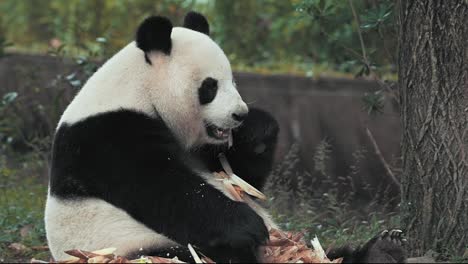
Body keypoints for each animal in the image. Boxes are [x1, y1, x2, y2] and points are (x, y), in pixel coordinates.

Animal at [44, 11, 406, 262]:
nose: (239, 114)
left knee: (328, 253)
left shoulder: (207, 150)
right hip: (134, 245)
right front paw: (248, 225)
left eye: (234, 80)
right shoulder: (109, 133)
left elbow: (242, 179)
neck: (139, 88)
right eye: (209, 87)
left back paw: (382, 250)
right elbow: (164, 187)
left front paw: (258, 127)